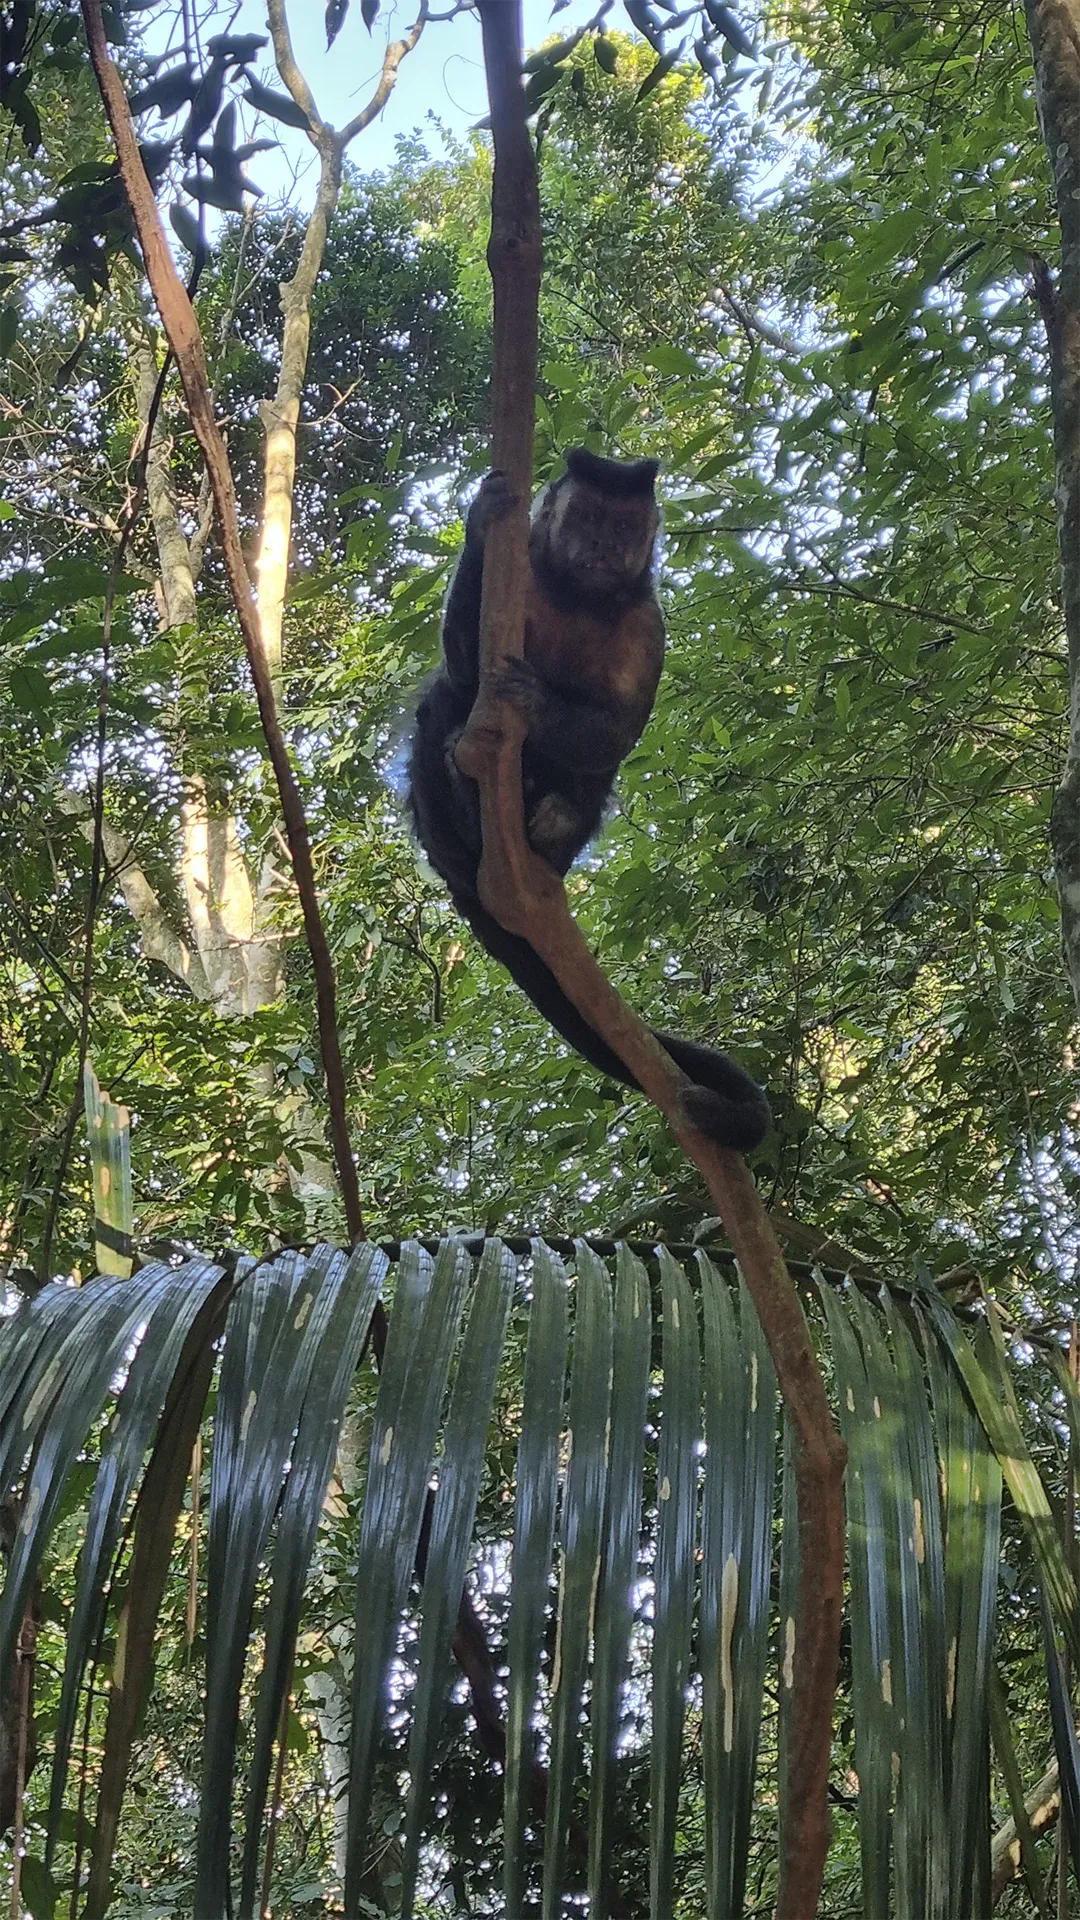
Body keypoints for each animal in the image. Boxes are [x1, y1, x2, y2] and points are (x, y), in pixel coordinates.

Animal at [401, 441, 764, 1144]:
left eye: (622, 528)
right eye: (589, 518)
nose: (601, 544)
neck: (578, 595)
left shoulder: (648, 622)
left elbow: (616, 736)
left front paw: (536, 704)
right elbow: (461, 667)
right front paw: (482, 518)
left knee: (584, 782)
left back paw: (552, 824)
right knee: (443, 709)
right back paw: (469, 789)